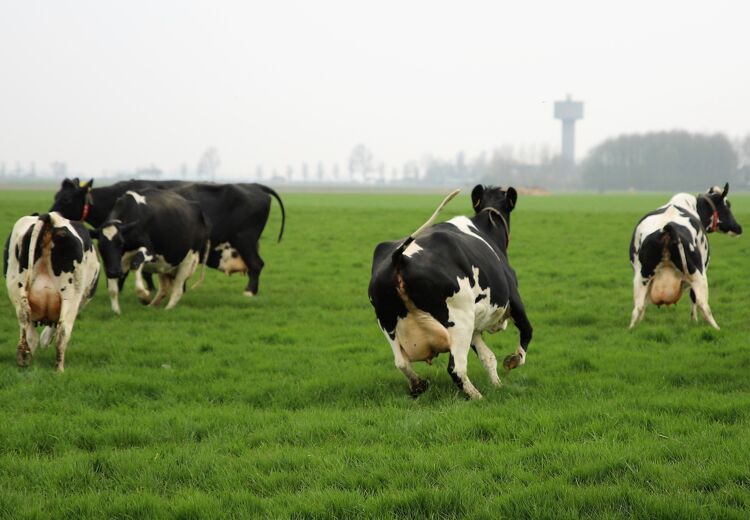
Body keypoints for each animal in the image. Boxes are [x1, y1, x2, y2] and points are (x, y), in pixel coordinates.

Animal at [4, 212, 99, 371]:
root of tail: (50, 217)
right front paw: (45, 341)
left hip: (16, 287)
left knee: (25, 318)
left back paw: (23, 357)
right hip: (71, 296)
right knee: (63, 331)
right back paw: (59, 369)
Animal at [51, 177, 285, 296]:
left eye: (66, 199)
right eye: (56, 195)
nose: (50, 217)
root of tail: (255, 185)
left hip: (245, 240)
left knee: (256, 265)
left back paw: (249, 292)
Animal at [368, 185, 533, 399]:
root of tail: (399, 258)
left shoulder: (475, 328)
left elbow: (488, 357)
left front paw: (497, 385)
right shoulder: (514, 299)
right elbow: (527, 332)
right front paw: (513, 361)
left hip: (388, 324)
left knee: (401, 363)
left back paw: (419, 384)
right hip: (459, 321)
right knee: (456, 368)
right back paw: (477, 397)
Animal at [629, 183, 742, 329]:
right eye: (727, 206)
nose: (738, 228)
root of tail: (667, 228)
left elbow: (644, 304)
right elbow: (693, 298)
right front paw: (694, 321)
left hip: (641, 277)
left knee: (637, 307)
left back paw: (632, 329)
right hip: (698, 275)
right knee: (703, 304)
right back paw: (717, 329)